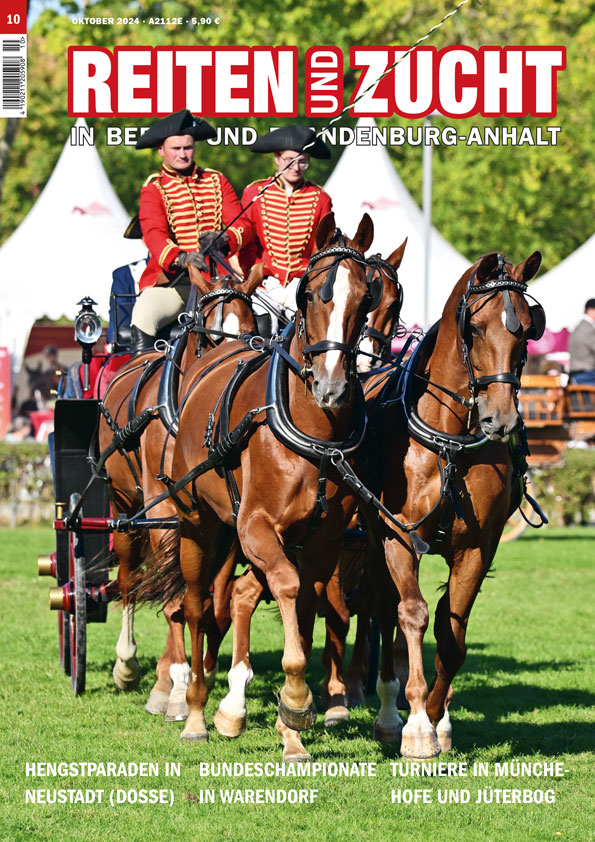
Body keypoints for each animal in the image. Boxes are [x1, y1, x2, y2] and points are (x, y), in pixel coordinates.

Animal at [99, 264, 262, 716]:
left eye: (252, 330)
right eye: (209, 337)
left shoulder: (222, 522)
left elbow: (214, 601)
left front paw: (202, 672)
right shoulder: (165, 515)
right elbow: (172, 597)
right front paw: (174, 686)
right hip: (125, 506)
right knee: (129, 576)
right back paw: (130, 665)